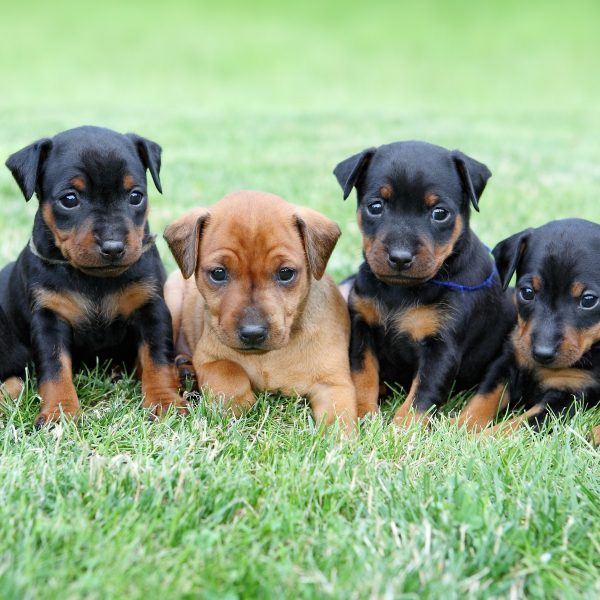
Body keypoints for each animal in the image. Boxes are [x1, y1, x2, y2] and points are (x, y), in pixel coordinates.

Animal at [0, 126, 184, 426]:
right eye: (69, 199)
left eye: (136, 196)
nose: (113, 247)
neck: (94, 280)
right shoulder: (49, 318)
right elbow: (54, 369)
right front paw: (59, 413)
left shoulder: (151, 308)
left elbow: (158, 358)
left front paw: (164, 402)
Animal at [332, 139, 516, 424]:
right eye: (375, 206)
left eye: (440, 213)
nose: (400, 257)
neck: (400, 291)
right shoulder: (362, 328)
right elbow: (362, 374)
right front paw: (364, 414)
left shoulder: (442, 347)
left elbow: (422, 395)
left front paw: (401, 429)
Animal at [454, 220, 600, 436]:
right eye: (527, 292)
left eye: (589, 300)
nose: (542, 353)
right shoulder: (506, 363)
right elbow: (481, 400)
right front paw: (457, 427)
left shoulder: (569, 396)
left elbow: (516, 425)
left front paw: (481, 438)